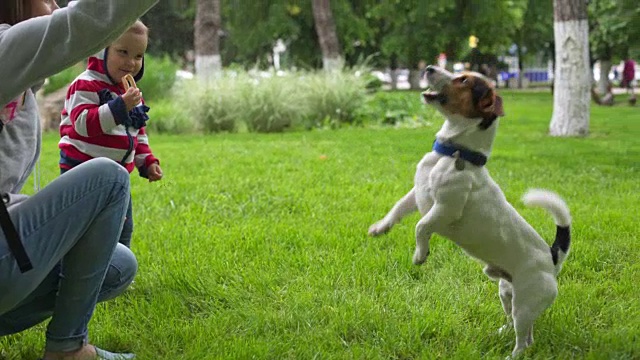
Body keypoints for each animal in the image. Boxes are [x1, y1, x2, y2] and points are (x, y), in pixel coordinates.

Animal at [368, 65, 572, 358]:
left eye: (463, 80)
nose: (428, 68)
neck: (454, 154)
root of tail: (552, 258)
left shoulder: (445, 208)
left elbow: (421, 226)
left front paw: (420, 255)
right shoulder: (416, 195)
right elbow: (397, 210)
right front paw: (380, 228)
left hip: (525, 303)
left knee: (523, 339)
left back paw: (512, 354)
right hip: (507, 292)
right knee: (523, 329)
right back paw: (502, 332)